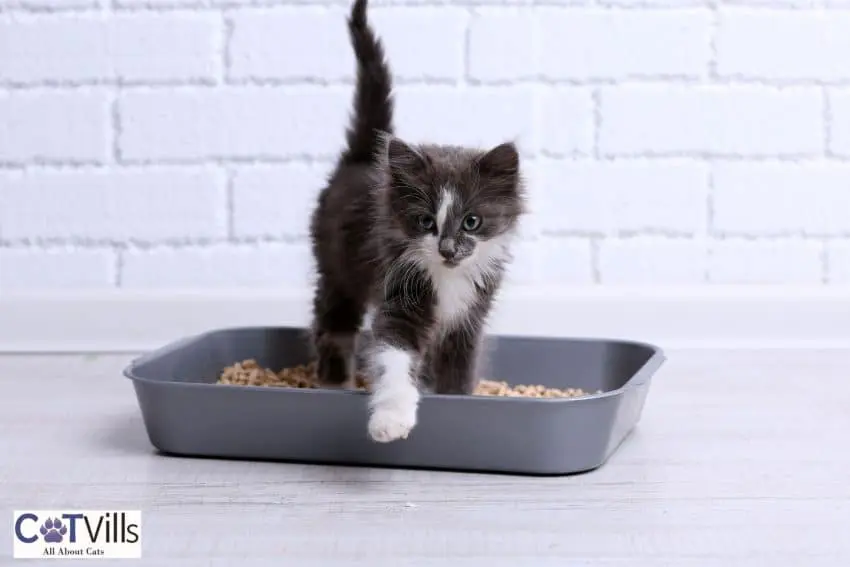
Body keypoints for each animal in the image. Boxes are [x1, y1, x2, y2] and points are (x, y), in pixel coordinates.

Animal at [308, 0, 528, 444]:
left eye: (472, 222)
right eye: (425, 221)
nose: (447, 249)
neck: (448, 278)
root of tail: (359, 158)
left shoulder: (469, 319)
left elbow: (458, 371)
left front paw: (457, 403)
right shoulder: (399, 295)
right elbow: (394, 359)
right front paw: (391, 420)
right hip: (336, 269)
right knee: (332, 325)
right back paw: (334, 381)